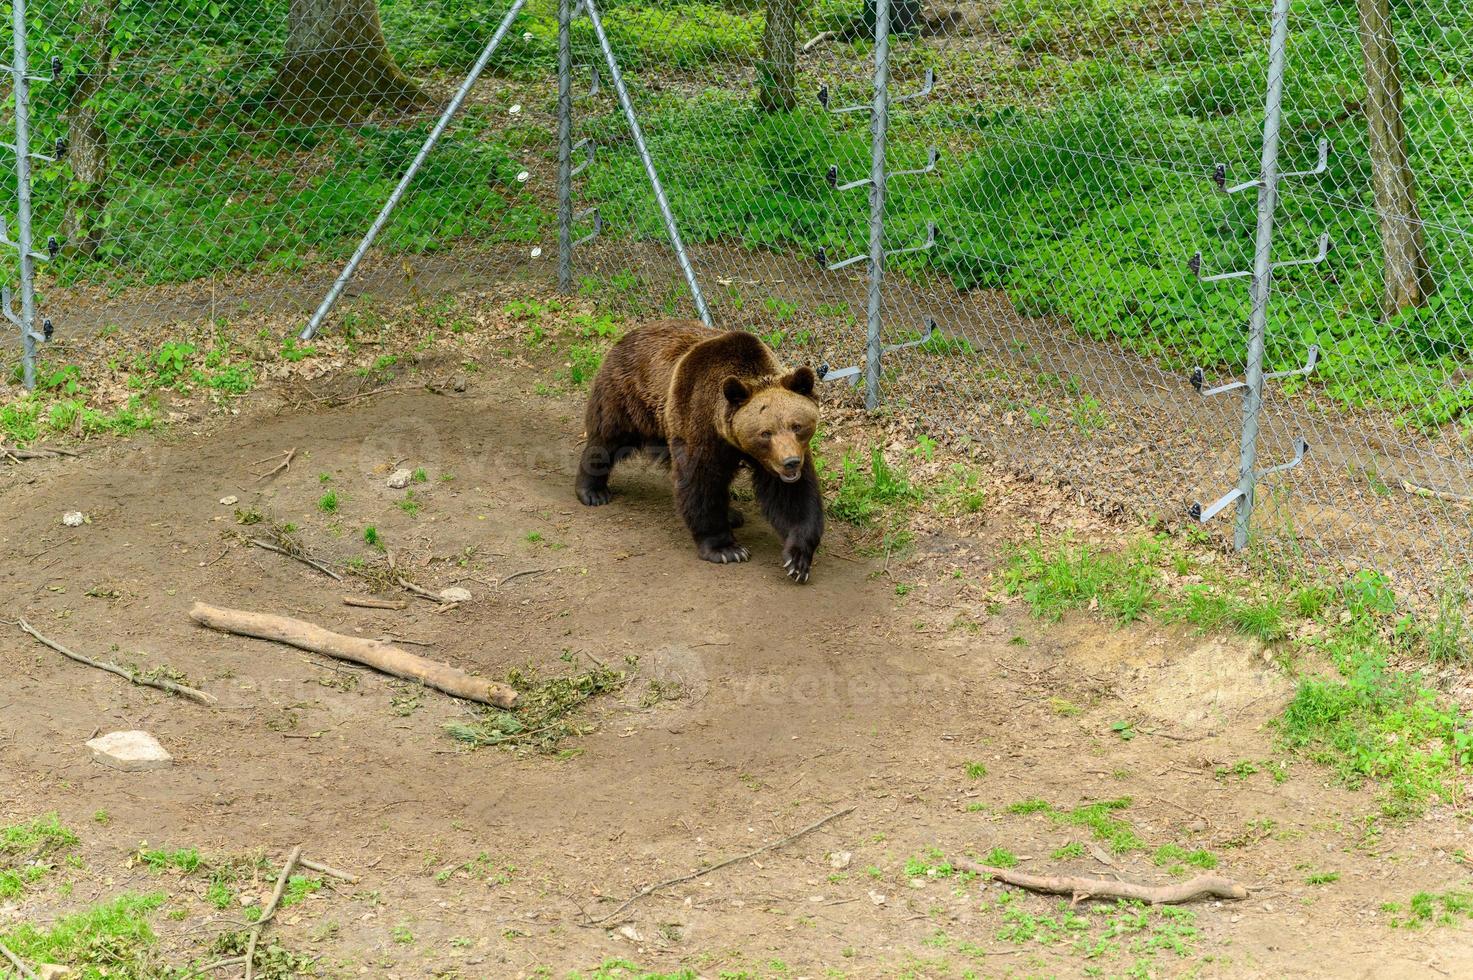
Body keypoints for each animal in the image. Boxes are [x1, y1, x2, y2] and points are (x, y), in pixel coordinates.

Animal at [577, 319, 830, 580]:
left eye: (796, 426)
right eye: (765, 433)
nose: (790, 462)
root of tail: (630, 334)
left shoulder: (774, 458)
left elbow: (793, 496)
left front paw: (797, 560)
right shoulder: (699, 420)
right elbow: (700, 482)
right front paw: (726, 549)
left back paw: (732, 514)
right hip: (628, 395)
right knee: (607, 439)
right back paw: (593, 491)